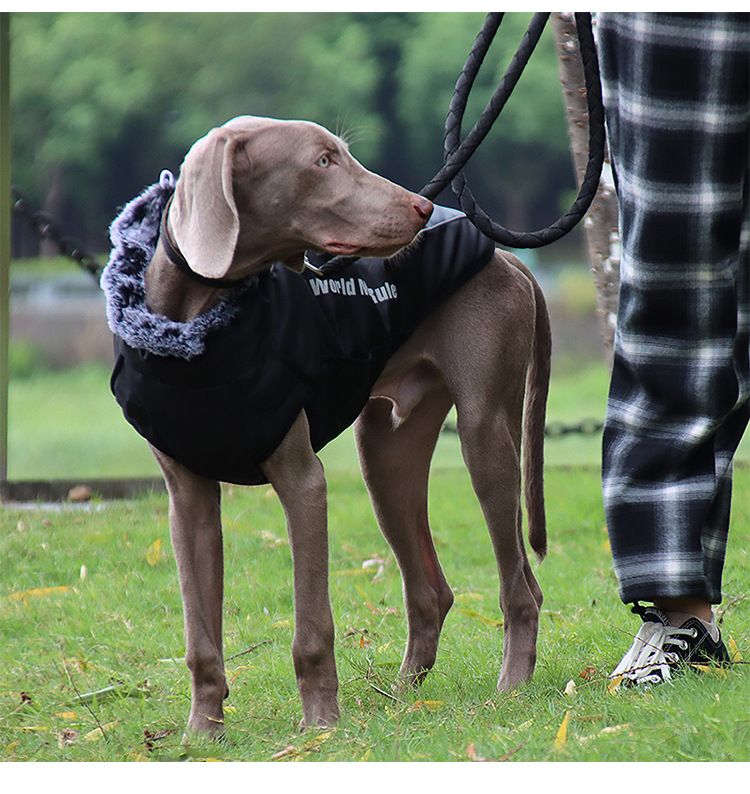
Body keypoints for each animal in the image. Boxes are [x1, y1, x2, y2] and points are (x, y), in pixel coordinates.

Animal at [101, 116, 552, 736]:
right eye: (322, 161)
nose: (421, 208)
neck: (198, 327)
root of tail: (509, 260)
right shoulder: (186, 497)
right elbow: (200, 638)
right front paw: (202, 732)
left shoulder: (302, 482)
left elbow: (312, 627)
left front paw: (321, 726)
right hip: (384, 452)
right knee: (431, 592)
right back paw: (402, 696)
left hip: (486, 434)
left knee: (520, 587)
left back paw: (510, 687)